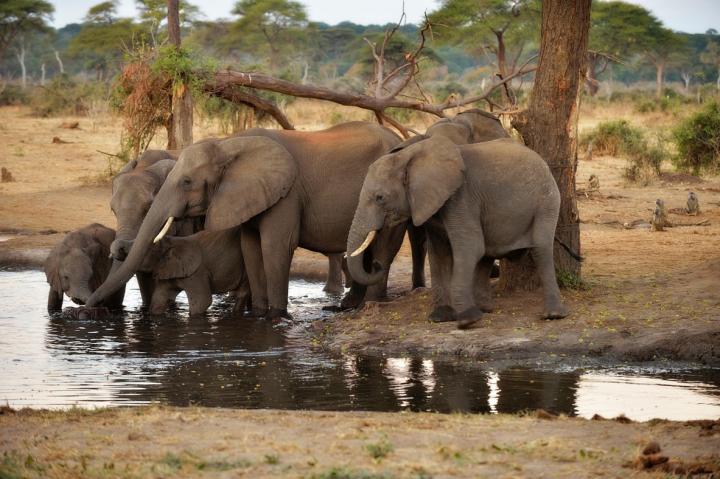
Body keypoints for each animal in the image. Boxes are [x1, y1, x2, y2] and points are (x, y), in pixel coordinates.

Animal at [86, 122, 425, 320]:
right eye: (111, 210)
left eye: (186, 182)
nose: (85, 310)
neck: (229, 145)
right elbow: (251, 247)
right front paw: (259, 315)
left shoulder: (286, 192)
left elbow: (275, 245)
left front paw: (276, 318)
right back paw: (345, 307)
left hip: (389, 195)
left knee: (382, 247)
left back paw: (372, 305)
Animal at [346, 135, 569, 329]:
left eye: (380, 198)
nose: (376, 264)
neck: (409, 156)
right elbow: (440, 254)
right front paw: (440, 318)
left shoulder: (461, 198)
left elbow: (469, 248)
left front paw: (468, 321)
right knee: (488, 253)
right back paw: (485, 308)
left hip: (547, 200)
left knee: (540, 249)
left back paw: (553, 315)